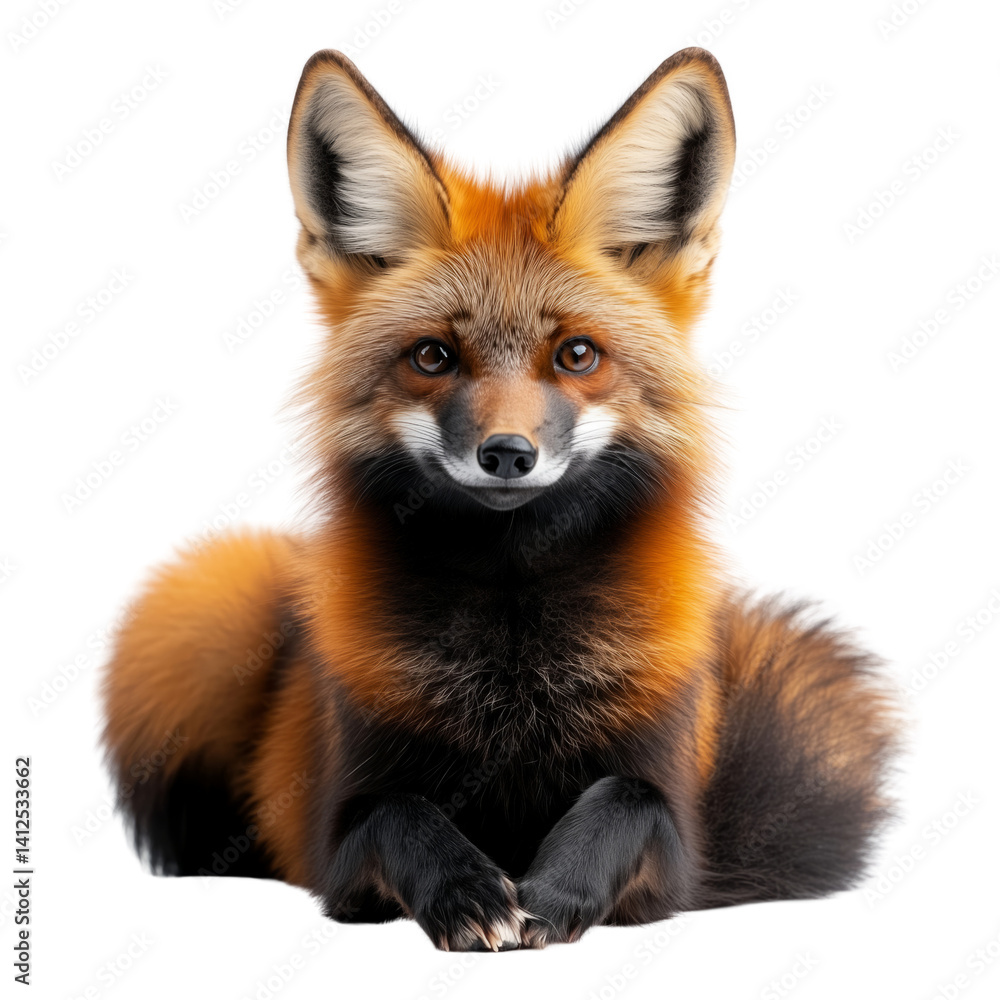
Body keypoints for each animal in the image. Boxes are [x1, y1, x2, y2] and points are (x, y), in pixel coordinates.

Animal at [101, 47, 900, 951]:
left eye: (578, 354)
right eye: (433, 356)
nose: (508, 454)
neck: (514, 664)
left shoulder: (675, 838)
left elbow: (625, 801)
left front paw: (553, 893)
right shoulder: (336, 837)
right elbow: (400, 813)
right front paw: (470, 892)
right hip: (200, 607)